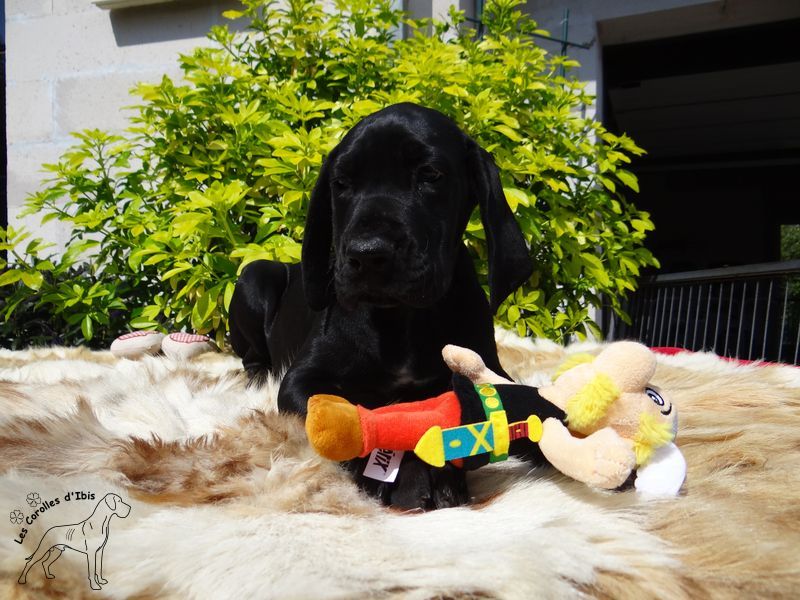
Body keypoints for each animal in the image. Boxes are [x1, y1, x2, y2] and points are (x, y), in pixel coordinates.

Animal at [229, 103, 532, 509]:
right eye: (341, 183)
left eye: (430, 175)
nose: (367, 254)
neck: (400, 317)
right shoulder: (301, 380)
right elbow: (345, 421)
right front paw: (406, 473)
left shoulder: (485, 367)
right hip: (255, 275)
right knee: (252, 356)